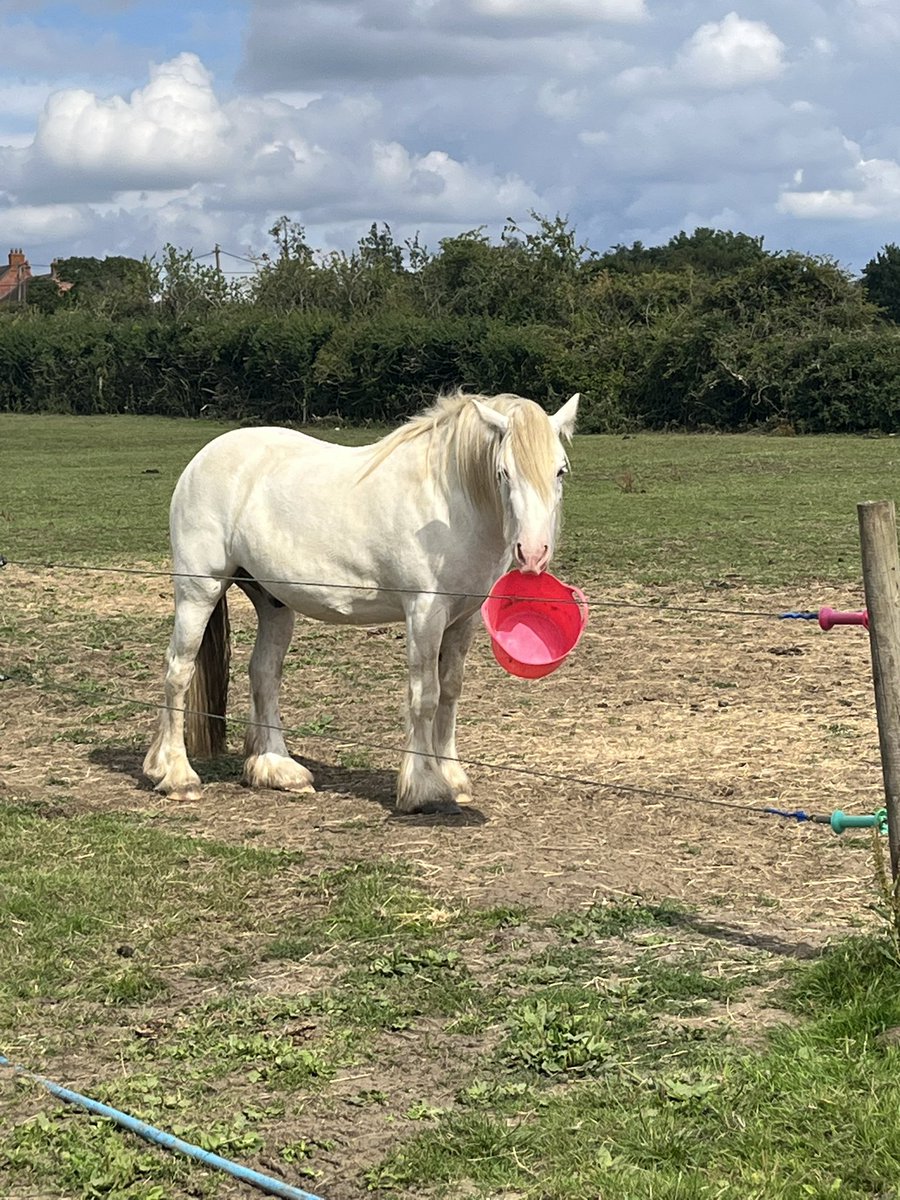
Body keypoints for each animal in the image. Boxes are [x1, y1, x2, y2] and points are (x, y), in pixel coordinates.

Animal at [143, 389, 579, 814]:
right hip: (199, 590)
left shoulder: (463, 618)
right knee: (178, 671)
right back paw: (177, 776)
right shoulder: (425, 613)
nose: (533, 553)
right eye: (504, 472)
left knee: (264, 673)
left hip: (274, 603)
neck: (449, 504)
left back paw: (277, 769)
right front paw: (424, 788)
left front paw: (453, 778)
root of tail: (202, 460)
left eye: (560, 470)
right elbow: (425, 695)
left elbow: (450, 692)